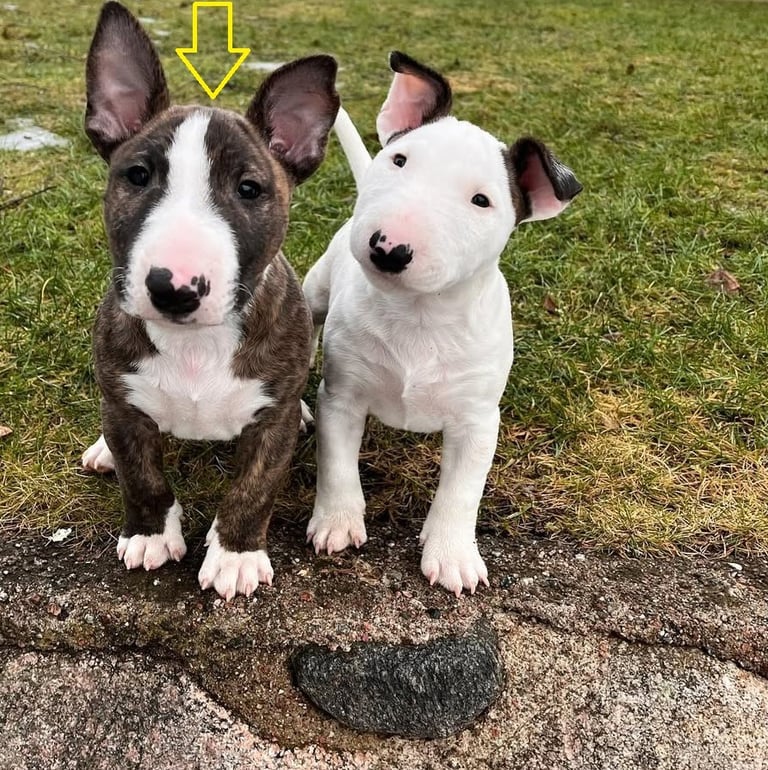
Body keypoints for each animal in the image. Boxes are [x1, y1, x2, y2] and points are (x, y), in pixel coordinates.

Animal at [80, 1, 339, 600]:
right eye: (137, 175)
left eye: (249, 189)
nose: (174, 287)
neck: (195, 344)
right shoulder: (125, 408)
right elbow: (142, 476)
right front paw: (150, 535)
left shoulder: (270, 427)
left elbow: (253, 490)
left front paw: (236, 556)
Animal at [303, 52, 582, 596]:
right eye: (399, 160)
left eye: (481, 201)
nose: (389, 247)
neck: (418, 315)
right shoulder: (341, 397)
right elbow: (338, 465)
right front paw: (337, 522)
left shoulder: (478, 421)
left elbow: (461, 491)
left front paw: (452, 554)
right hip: (316, 289)